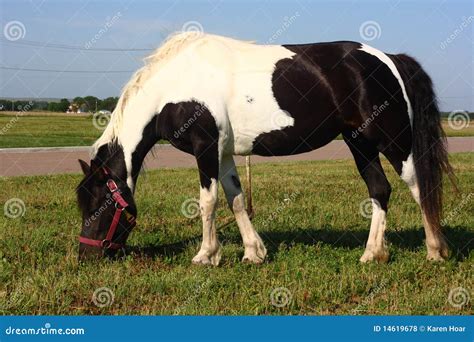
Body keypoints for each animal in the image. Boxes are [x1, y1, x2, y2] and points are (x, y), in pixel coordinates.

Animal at [76, 32, 454, 264]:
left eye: (99, 204)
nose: (86, 256)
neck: (174, 86)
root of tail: (389, 59)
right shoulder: (224, 153)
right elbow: (236, 199)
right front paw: (253, 252)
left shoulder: (205, 147)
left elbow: (208, 202)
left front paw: (206, 255)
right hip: (359, 142)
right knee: (379, 189)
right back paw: (372, 254)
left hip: (393, 142)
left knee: (419, 187)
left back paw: (435, 250)